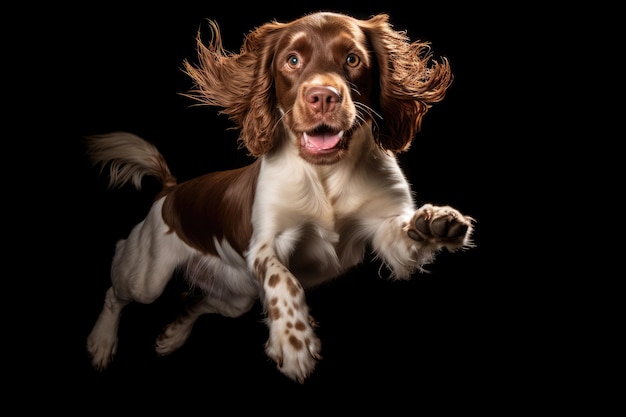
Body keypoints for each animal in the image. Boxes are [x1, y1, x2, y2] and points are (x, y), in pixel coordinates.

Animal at [84, 10, 472, 380]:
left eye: (352, 59)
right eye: (292, 60)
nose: (323, 97)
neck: (326, 173)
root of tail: (171, 189)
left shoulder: (387, 235)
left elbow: (407, 235)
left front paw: (436, 221)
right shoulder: (265, 244)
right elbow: (281, 279)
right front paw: (293, 341)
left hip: (236, 296)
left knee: (197, 302)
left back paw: (172, 336)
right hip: (147, 276)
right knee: (116, 289)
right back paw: (102, 342)